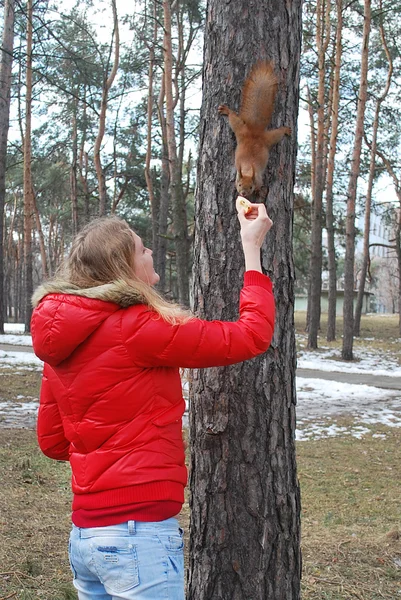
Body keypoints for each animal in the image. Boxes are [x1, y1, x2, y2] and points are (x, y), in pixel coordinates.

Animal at [219, 63, 290, 199]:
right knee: (233, 119)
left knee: (278, 134)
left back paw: (286, 129)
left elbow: (260, 185)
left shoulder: (258, 178)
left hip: (267, 138)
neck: (247, 169)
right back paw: (226, 110)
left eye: (250, 187)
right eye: (240, 185)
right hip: (240, 129)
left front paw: (257, 191)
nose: (243, 193)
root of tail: (254, 130)